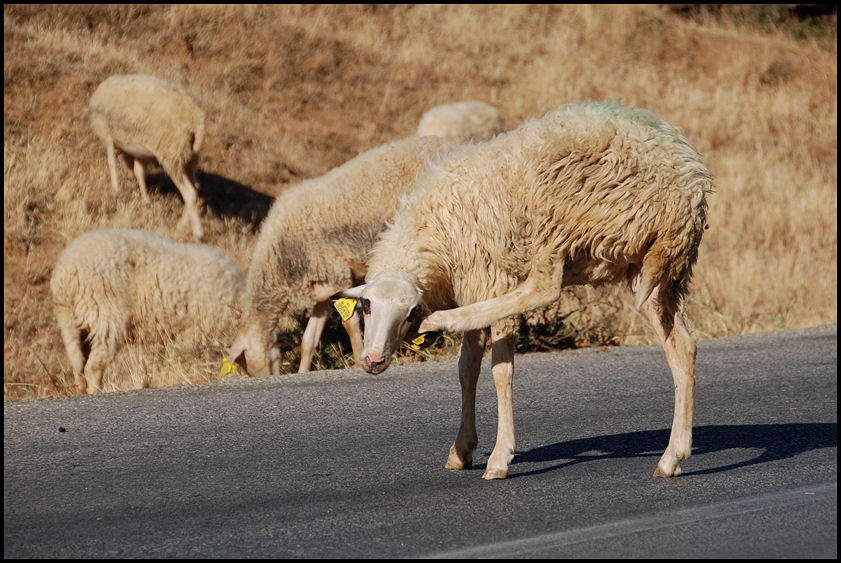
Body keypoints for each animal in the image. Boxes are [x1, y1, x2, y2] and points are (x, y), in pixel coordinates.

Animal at [51, 227, 244, 394]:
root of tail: (66, 273)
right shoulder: (195, 331)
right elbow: (185, 356)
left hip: (74, 321)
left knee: (79, 364)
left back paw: (81, 390)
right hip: (105, 315)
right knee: (93, 366)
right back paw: (96, 391)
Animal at [89, 72, 208, 238]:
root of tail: (196, 120)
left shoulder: (107, 136)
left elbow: (112, 164)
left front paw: (116, 189)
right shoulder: (139, 152)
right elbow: (139, 173)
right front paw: (145, 200)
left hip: (171, 154)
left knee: (189, 192)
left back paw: (196, 231)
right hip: (188, 158)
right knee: (195, 190)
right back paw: (183, 224)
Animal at [228, 134, 460, 376]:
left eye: (252, 364)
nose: (268, 377)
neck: (281, 260)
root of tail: (453, 143)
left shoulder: (339, 276)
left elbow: (350, 324)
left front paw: (359, 359)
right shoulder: (323, 285)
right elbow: (308, 340)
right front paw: (303, 371)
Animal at [332, 101, 712, 480]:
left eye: (410, 312)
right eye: (366, 305)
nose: (373, 361)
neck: (433, 233)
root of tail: (691, 182)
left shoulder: (489, 274)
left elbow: (500, 371)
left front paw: (500, 457)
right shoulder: (472, 282)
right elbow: (466, 370)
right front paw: (461, 450)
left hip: (565, 215)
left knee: (544, 287)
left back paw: (444, 319)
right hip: (650, 267)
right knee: (682, 347)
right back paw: (672, 456)